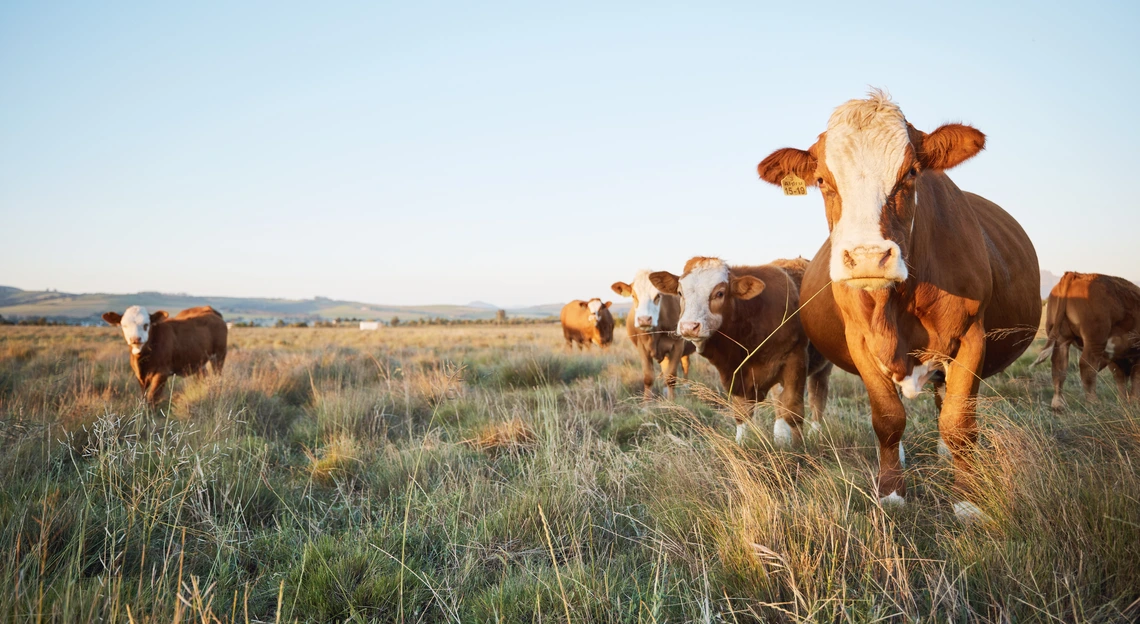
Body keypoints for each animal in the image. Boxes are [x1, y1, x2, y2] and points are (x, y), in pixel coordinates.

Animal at [615, 272, 693, 401]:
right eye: (633, 296)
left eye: (658, 296)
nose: (644, 319)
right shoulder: (642, 347)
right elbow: (648, 377)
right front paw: (646, 403)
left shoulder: (678, 345)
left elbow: (671, 377)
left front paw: (671, 401)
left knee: (685, 365)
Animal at [656, 257, 834, 444]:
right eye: (680, 293)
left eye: (720, 293)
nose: (689, 327)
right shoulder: (736, 374)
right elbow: (742, 413)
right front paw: (741, 443)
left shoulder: (795, 360)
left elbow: (793, 411)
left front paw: (800, 447)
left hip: (823, 366)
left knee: (817, 396)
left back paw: (815, 433)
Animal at [756, 91, 1044, 522]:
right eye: (822, 180)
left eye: (911, 173)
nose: (867, 257)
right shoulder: (860, 343)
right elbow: (888, 419)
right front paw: (892, 491)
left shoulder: (972, 336)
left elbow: (959, 421)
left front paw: (968, 500)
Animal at [1035, 272, 1140, 410]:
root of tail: (1076, 275)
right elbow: (1135, 377)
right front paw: (1134, 402)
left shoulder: (1115, 356)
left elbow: (1121, 378)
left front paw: (1123, 402)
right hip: (1095, 339)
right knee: (1087, 366)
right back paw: (1093, 403)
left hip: (1061, 339)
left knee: (1059, 366)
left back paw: (1058, 404)